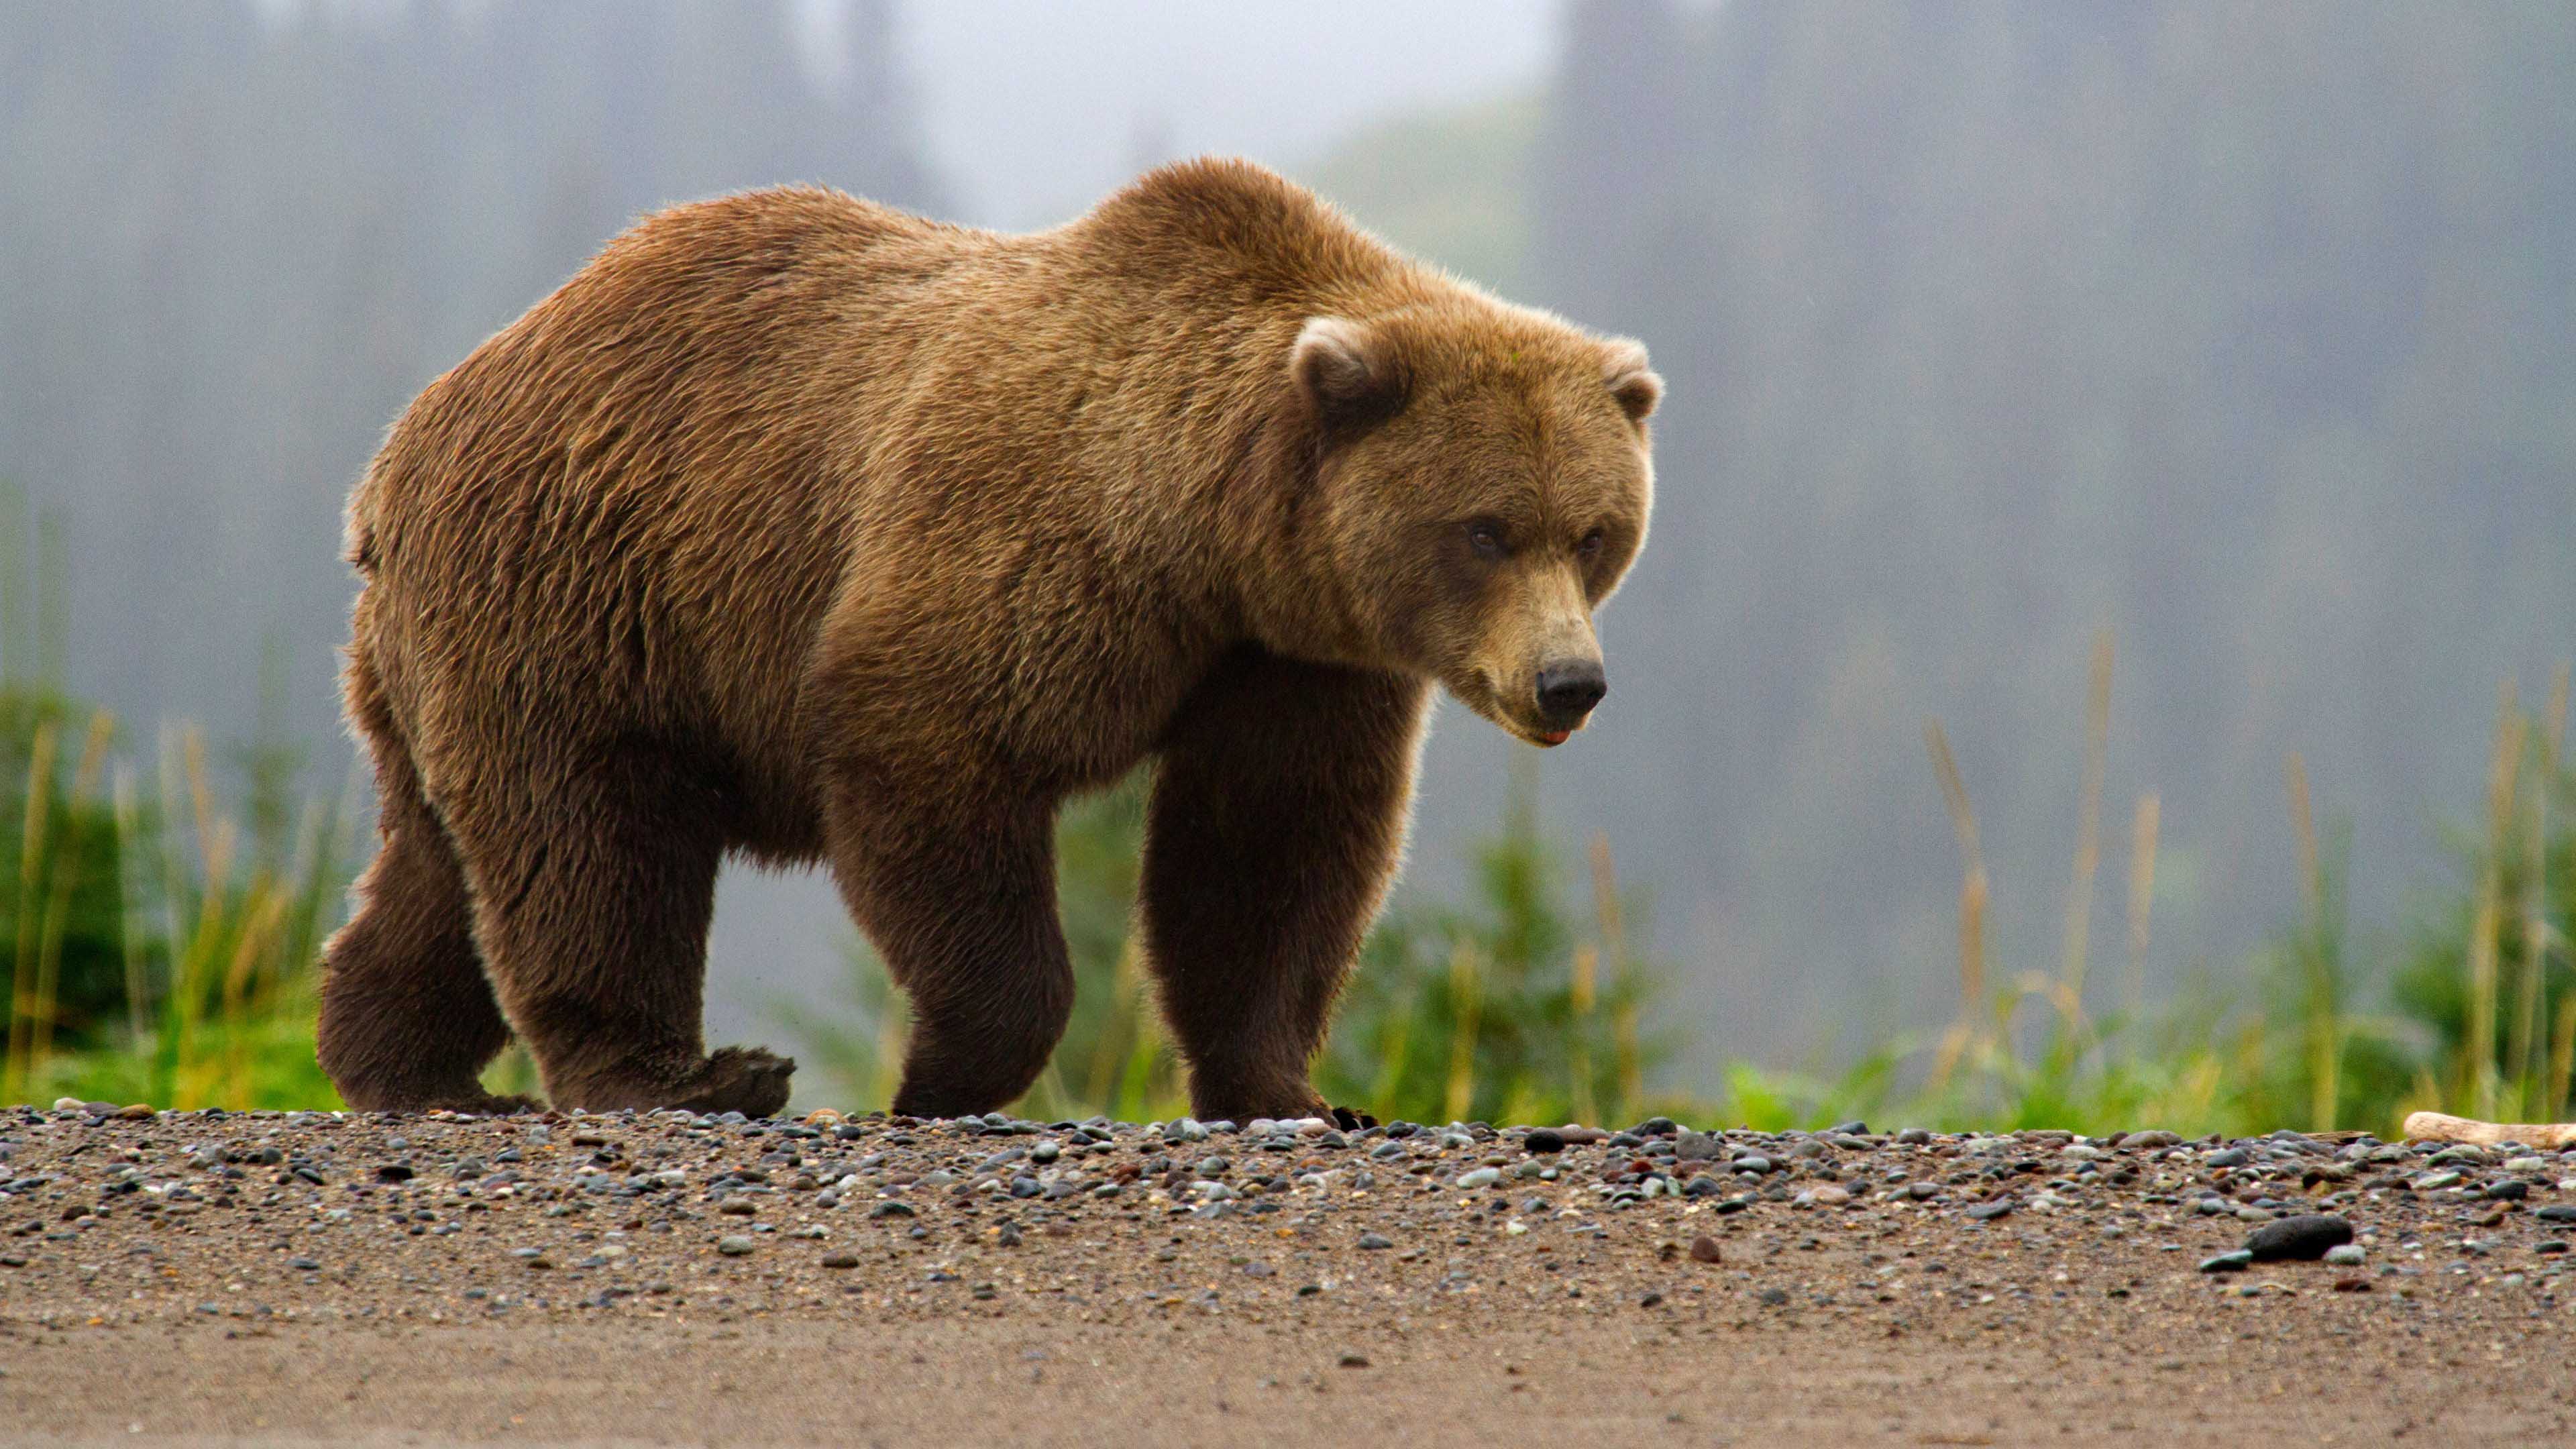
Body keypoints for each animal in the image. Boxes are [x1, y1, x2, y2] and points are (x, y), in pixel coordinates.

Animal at [315, 157, 1659, 1124]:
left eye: (1595, 531)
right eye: (1484, 529)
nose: (1570, 682)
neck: (1209, 537)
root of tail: (401, 448)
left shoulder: (1292, 659)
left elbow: (1270, 851)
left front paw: (1295, 1091)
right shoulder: (1026, 543)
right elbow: (933, 750)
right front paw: (940, 1075)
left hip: (456, 649)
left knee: (442, 862)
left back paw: (402, 1064)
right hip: (584, 591)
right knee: (589, 840)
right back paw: (683, 1077)